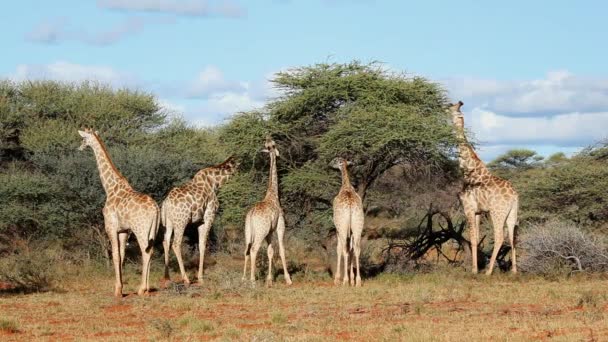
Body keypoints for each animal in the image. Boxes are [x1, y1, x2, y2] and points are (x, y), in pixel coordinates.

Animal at [78, 129, 159, 296]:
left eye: (83, 139)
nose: (79, 147)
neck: (110, 188)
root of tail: (156, 209)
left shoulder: (111, 227)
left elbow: (115, 255)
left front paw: (117, 290)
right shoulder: (123, 231)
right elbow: (121, 255)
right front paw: (120, 287)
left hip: (141, 230)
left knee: (146, 252)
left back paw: (142, 288)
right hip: (153, 231)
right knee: (152, 250)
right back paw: (147, 288)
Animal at [162, 156, 240, 284]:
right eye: (238, 167)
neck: (214, 183)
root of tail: (166, 203)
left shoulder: (199, 221)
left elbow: (200, 244)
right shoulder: (209, 216)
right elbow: (203, 244)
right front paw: (200, 277)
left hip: (169, 222)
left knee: (166, 241)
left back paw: (167, 277)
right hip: (181, 222)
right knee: (176, 243)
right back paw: (186, 278)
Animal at [241, 136, 290, 286]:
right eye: (273, 145)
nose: (277, 154)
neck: (273, 195)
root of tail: (251, 215)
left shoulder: (269, 232)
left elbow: (270, 251)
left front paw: (269, 280)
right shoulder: (280, 227)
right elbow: (281, 250)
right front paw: (288, 279)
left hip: (248, 231)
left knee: (246, 250)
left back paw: (243, 278)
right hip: (260, 231)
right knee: (253, 249)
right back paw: (252, 280)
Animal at [330, 159, 364, 288]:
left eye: (335, 161)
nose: (330, 165)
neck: (346, 186)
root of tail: (350, 205)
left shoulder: (338, 229)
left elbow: (339, 249)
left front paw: (338, 279)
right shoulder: (351, 231)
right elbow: (351, 250)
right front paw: (352, 279)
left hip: (343, 227)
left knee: (344, 250)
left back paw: (344, 281)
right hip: (358, 226)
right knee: (357, 249)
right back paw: (358, 281)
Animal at [448, 101, 520, 276]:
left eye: (452, 108)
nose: (444, 109)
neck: (469, 170)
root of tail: (514, 195)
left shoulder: (468, 208)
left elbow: (473, 238)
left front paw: (474, 270)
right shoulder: (478, 211)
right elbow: (476, 238)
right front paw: (476, 267)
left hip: (497, 212)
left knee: (500, 237)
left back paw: (489, 271)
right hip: (513, 213)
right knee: (513, 237)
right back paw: (514, 270)